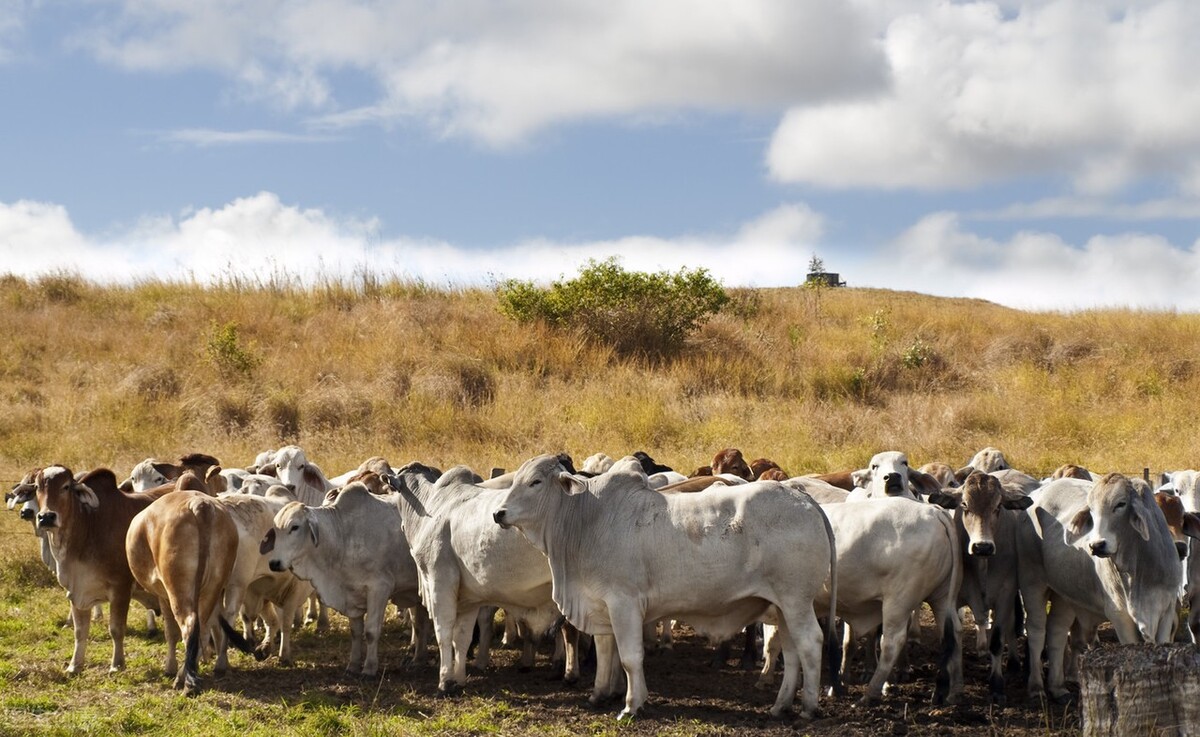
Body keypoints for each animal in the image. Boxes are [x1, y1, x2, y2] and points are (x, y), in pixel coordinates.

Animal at [126, 492, 255, 691]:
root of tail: (199, 504)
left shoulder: (164, 595)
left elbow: (171, 632)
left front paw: (170, 668)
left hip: (179, 590)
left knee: (188, 627)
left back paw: (184, 680)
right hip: (212, 587)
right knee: (202, 629)